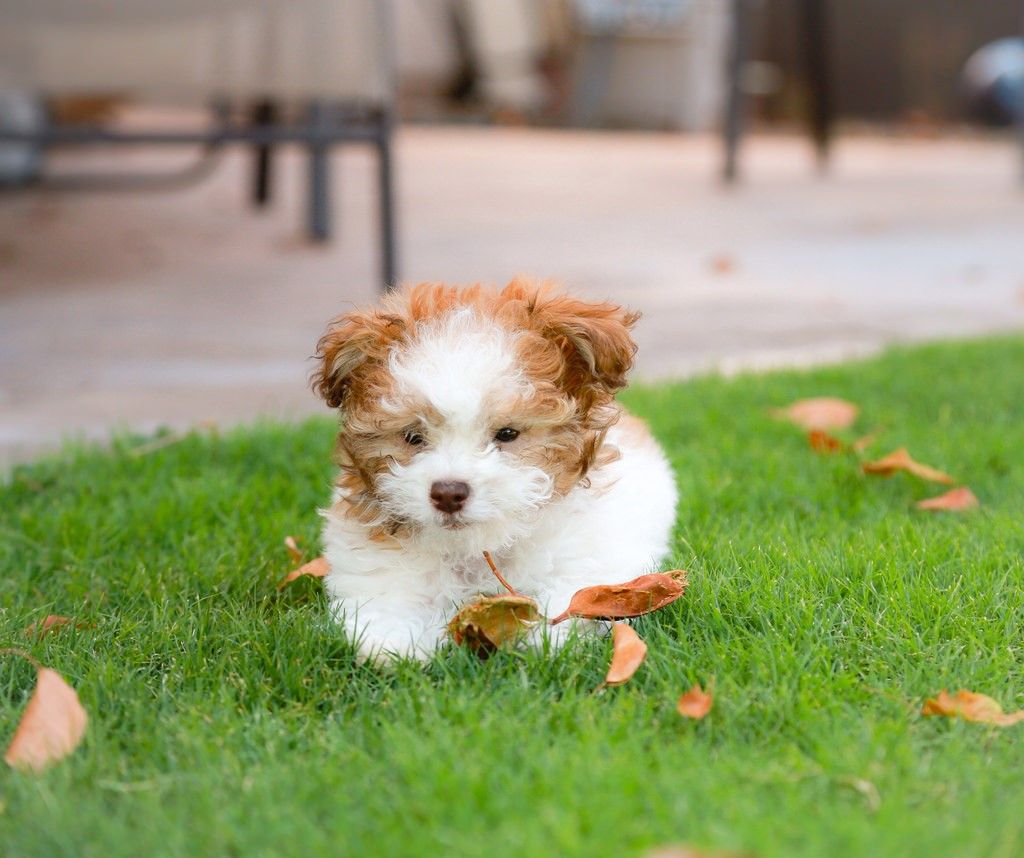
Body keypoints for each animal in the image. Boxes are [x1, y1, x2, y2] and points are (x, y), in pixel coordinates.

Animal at [311, 278, 679, 663]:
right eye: (413, 437)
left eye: (507, 434)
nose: (448, 493)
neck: (478, 549)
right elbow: (386, 609)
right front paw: (394, 646)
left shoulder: (591, 563)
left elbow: (573, 602)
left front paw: (542, 641)